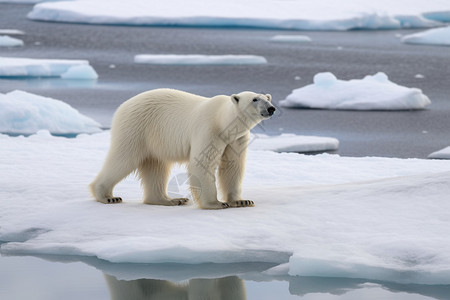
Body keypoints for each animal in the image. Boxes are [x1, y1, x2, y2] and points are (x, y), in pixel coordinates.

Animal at [89, 88, 274, 209]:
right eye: (254, 99)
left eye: (267, 98)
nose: (271, 108)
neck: (222, 120)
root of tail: (122, 106)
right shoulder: (208, 130)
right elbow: (202, 164)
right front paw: (216, 203)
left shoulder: (236, 139)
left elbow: (233, 166)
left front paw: (242, 201)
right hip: (136, 127)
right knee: (123, 158)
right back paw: (108, 197)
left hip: (154, 138)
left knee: (156, 166)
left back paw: (170, 200)